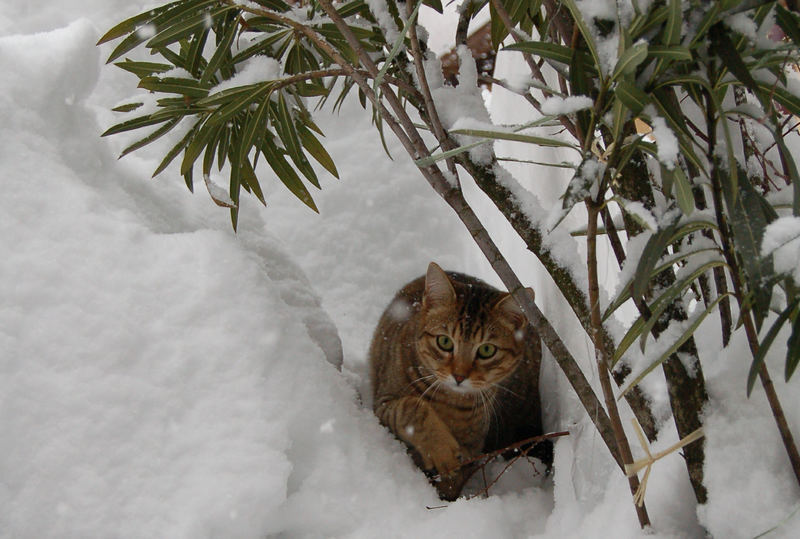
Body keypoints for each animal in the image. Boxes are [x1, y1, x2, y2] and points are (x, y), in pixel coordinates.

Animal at [368, 264, 544, 500]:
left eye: (486, 350)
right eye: (444, 342)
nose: (459, 376)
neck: (448, 402)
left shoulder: (474, 444)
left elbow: (456, 479)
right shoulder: (384, 403)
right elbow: (412, 407)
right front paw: (442, 450)